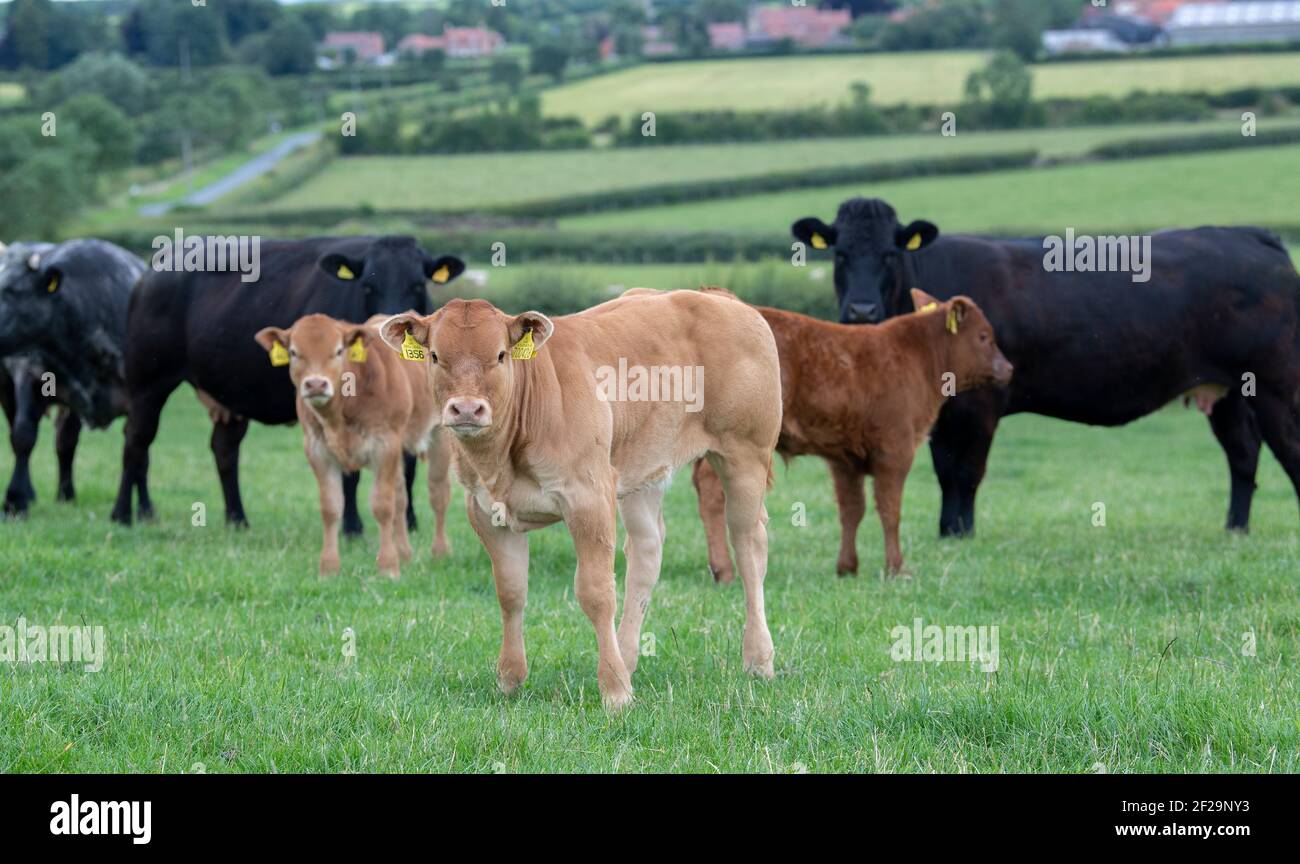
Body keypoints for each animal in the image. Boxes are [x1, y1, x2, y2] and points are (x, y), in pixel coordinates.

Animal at [0, 239, 146, 514]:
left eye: (12, 291)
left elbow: (137, 450)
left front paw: (143, 508)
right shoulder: (29, 374)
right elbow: (23, 436)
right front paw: (15, 500)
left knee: (65, 442)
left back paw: (66, 495)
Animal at [110, 237, 467, 532]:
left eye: (418, 284)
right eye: (367, 286)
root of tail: (155, 267)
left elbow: (407, 466)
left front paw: (408, 523)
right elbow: (350, 471)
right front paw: (352, 528)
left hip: (228, 395)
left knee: (223, 449)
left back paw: (234, 519)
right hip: (148, 383)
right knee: (136, 441)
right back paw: (124, 514)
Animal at [256, 313, 454, 576]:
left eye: (338, 350)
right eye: (294, 352)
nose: (316, 384)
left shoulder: (384, 446)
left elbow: (382, 506)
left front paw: (388, 567)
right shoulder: (318, 451)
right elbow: (331, 508)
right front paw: (329, 568)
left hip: (438, 437)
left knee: (438, 493)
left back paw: (440, 552)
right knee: (401, 497)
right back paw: (405, 554)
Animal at [379, 289, 780, 706]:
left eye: (501, 355)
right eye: (435, 356)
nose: (467, 409)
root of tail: (715, 296)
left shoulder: (589, 498)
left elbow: (596, 592)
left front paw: (615, 691)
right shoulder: (486, 512)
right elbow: (511, 591)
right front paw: (510, 678)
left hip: (745, 456)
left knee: (750, 548)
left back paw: (758, 658)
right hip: (643, 472)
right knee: (646, 553)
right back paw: (627, 657)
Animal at [790, 201, 1300, 535]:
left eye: (890, 253)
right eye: (839, 253)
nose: (860, 311)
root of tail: (1249, 234)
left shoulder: (980, 404)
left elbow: (967, 472)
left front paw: (962, 534)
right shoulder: (941, 411)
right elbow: (944, 471)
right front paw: (946, 530)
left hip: (1277, 386)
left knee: (1285, 450)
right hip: (1228, 392)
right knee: (1242, 454)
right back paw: (1234, 529)